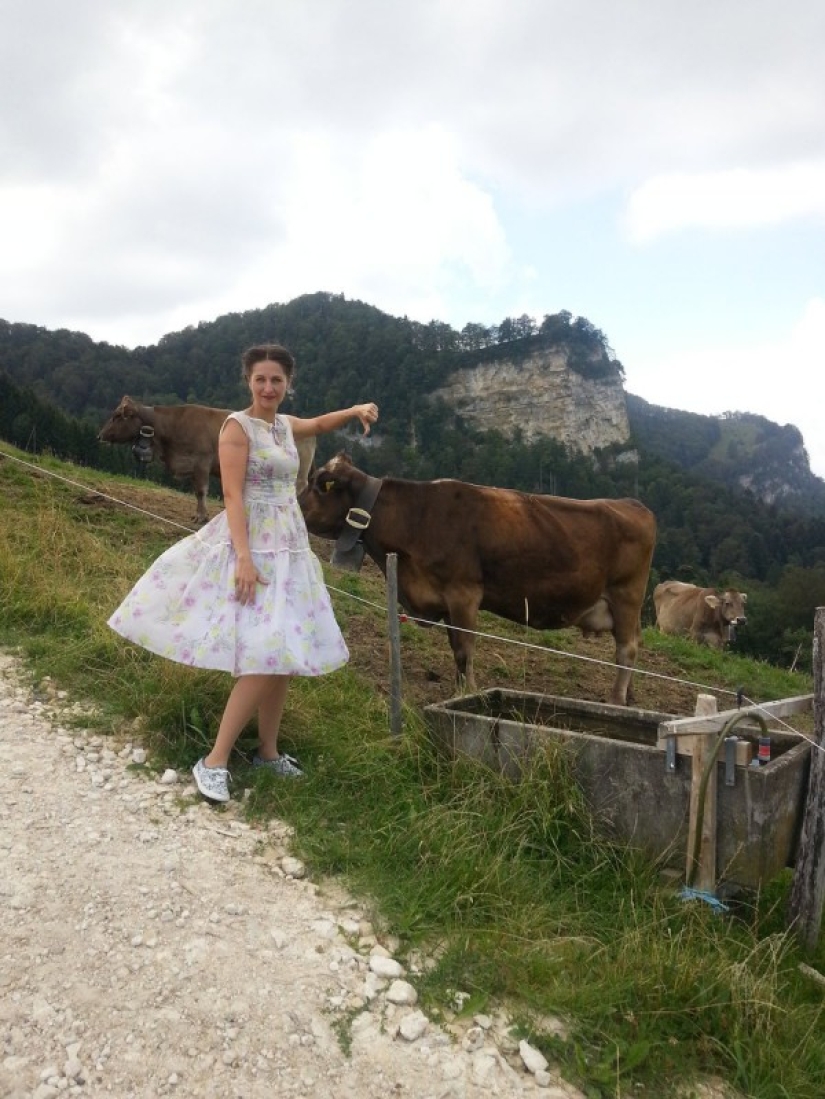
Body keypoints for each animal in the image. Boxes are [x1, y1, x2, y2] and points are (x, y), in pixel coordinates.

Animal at [99, 396, 316, 524]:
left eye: (118, 416)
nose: (100, 436)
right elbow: (197, 492)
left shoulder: (202, 462)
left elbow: (201, 491)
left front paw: (201, 517)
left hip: (294, 472)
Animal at [299, 453, 657, 705]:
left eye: (320, 486)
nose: (294, 503)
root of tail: (632, 503)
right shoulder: (442, 599)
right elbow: (455, 647)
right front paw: (459, 691)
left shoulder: (464, 593)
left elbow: (464, 648)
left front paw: (467, 692)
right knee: (634, 644)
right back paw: (629, 696)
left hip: (626, 595)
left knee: (627, 649)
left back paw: (615, 701)